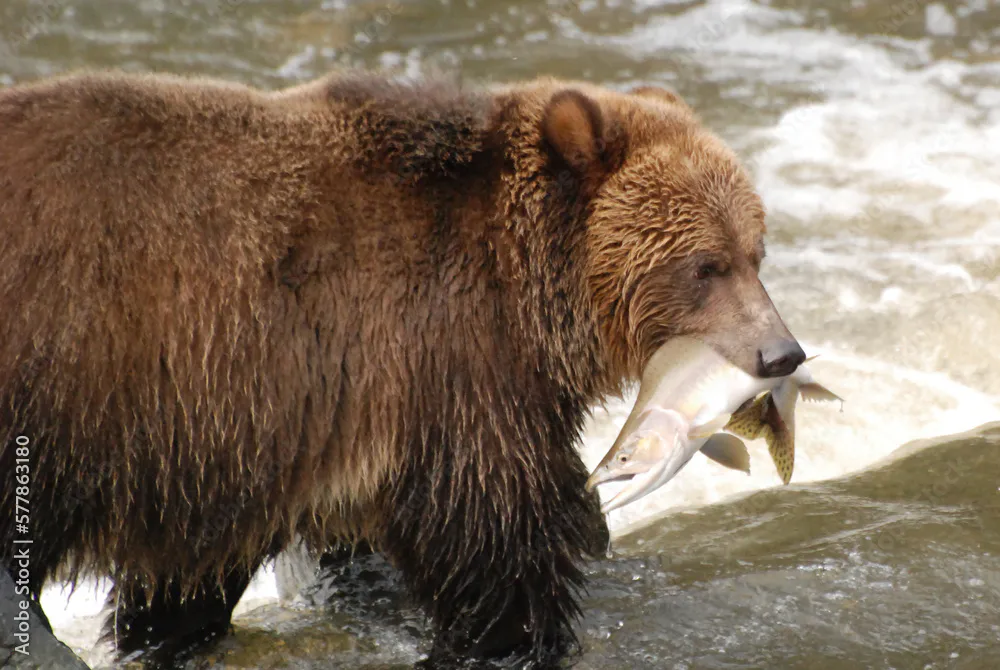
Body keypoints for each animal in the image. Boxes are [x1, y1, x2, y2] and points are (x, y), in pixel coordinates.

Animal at [0, 70, 804, 668]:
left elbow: (196, 565)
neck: (535, 299)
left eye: (756, 252)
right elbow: (493, 528)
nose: (783, 352)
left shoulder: (239, 429)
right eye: (707, 265)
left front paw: (164, 628)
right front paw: (512, 637)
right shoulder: (433, 361)